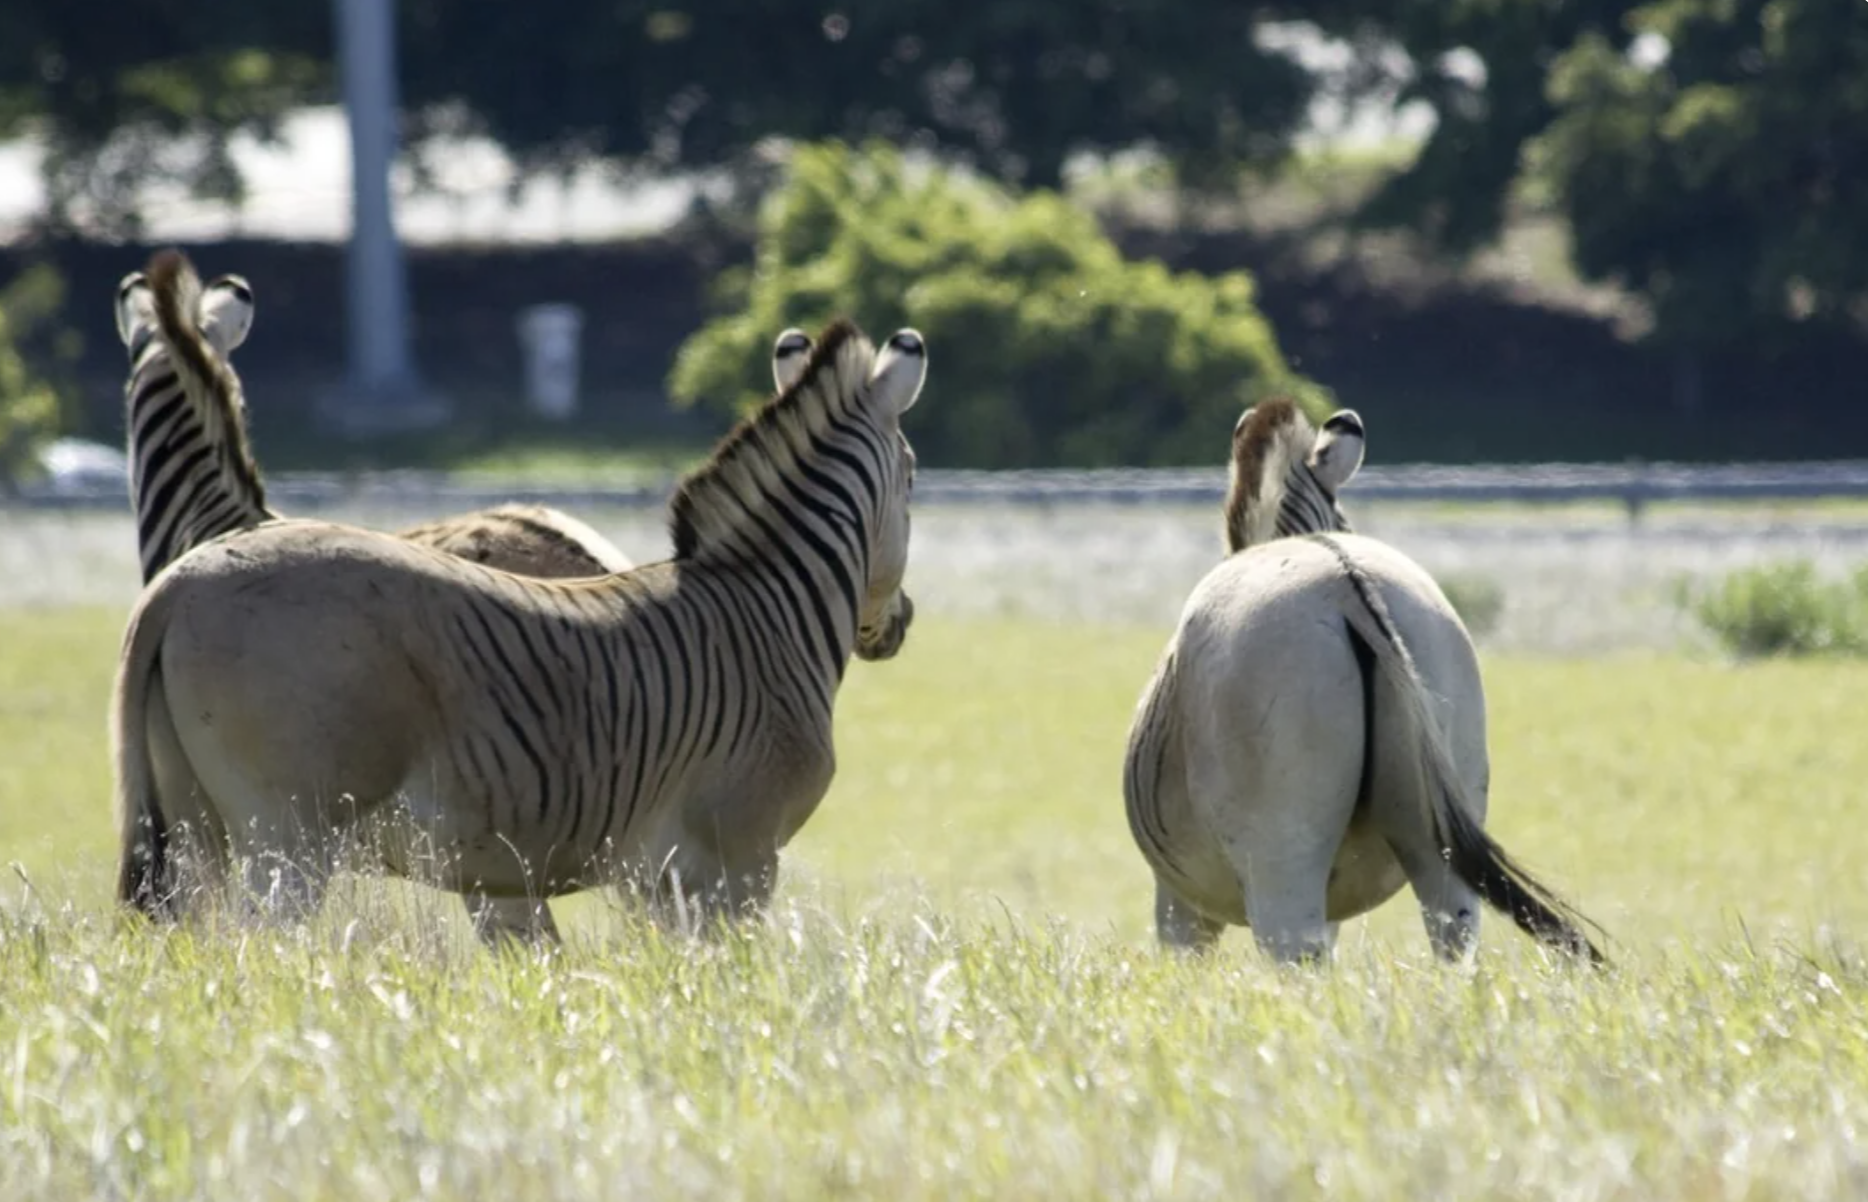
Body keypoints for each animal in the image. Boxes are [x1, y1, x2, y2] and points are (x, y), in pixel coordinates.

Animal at [111, 318, 928, 946]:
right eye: (915, 480)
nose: (897, 625)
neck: (766, 609)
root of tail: (177, 584)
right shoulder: (738, 863)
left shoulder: (663, 879)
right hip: (288, 840)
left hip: (196, 831)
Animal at [1123, 398, 1604, 966]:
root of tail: (1344, 581)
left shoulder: (1179, 902)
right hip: (1439, 834)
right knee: (1453, 941)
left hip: (1280, 859)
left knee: (1295, 957)